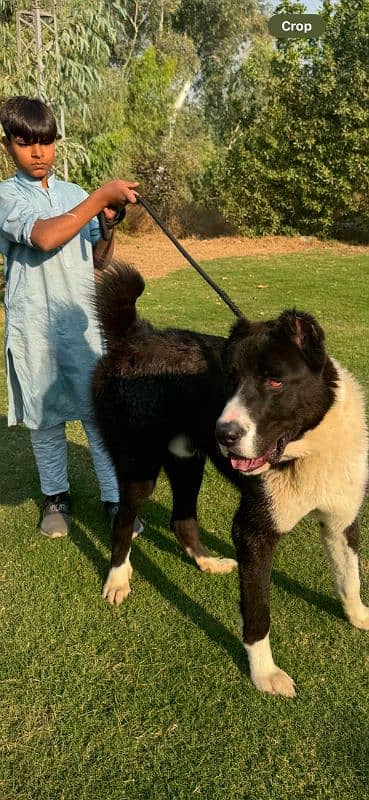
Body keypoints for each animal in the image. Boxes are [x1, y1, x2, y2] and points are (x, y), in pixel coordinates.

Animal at [91, 262, 366, 692]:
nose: (223, 434)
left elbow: (349, 577)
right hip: (139, 467)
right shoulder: (253, 533)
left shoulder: (341, 521)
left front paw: (359, 616)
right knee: (122, 522)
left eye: (275, 380)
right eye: (229, 380)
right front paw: (264, 673)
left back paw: (207, 562)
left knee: (182, 519)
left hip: (187, 460)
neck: (307, 447)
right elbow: (257, 612)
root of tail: (135, 335)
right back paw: (118, 580)